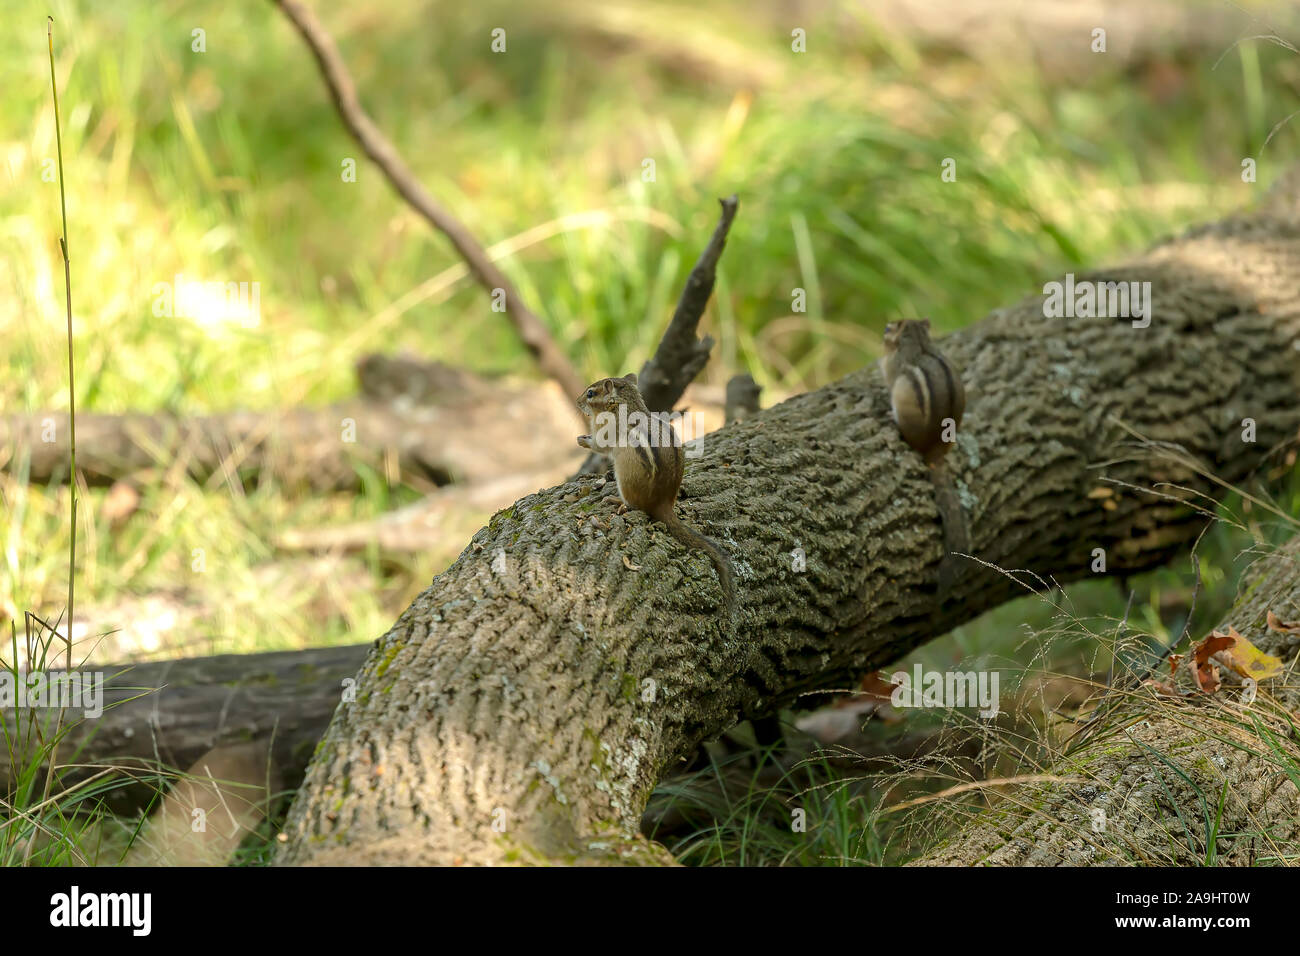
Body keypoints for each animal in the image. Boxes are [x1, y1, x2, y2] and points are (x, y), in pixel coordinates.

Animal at [576, 373, 736, 626]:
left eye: (591, 393)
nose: (577, 402)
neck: (623, 402)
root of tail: (663, 503)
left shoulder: (605, 430)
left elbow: (600, 446)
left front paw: (584, 440)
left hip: (624, 469)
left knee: (634, 504)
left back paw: (617, 502)